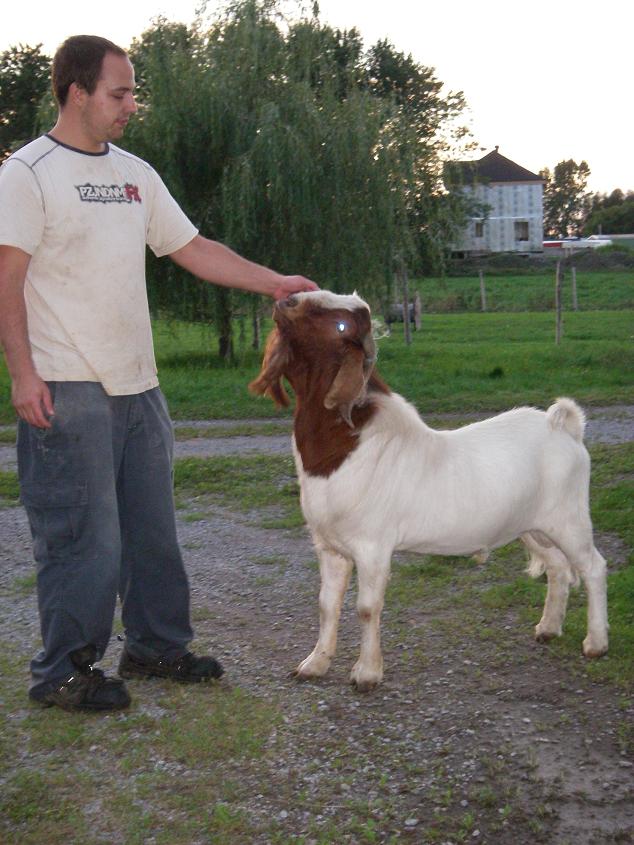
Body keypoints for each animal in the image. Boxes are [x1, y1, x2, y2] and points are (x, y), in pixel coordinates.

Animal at [248, 288, 608, 684]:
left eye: (340, 324)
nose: (287, 299)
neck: (345, 448)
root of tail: (563, 427)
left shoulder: (372, 546)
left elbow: (366, 608)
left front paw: (366, 673)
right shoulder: (330, 546)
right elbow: (327, 605)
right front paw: (314, 663)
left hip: (569, 518)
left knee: (593, 567)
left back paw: (596, 643)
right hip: (532, 526)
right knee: (559, 567)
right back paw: (548, 628)